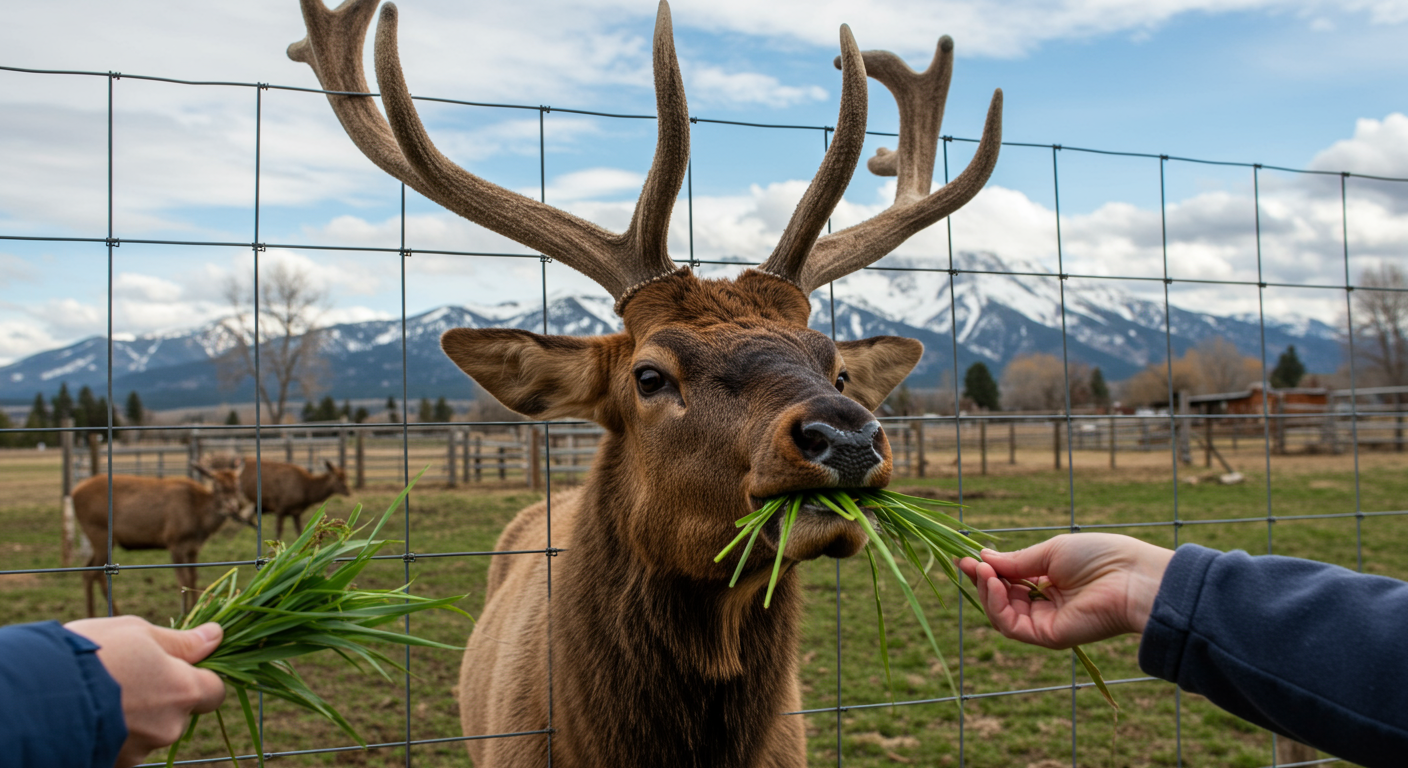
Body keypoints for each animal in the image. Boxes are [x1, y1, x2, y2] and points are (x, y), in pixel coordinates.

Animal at [74, 462, 252, 618]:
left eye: (238, 485)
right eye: (217, 486)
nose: (232, 507)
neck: (199, 520)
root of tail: (75, 492)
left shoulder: (193, 548)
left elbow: (193, 577)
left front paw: (196, 608)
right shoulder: (174, 541)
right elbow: (183, 580)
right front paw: (183, 615)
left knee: (91, 570)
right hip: (98, 532)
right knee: (92, 573)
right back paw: (98, 616)